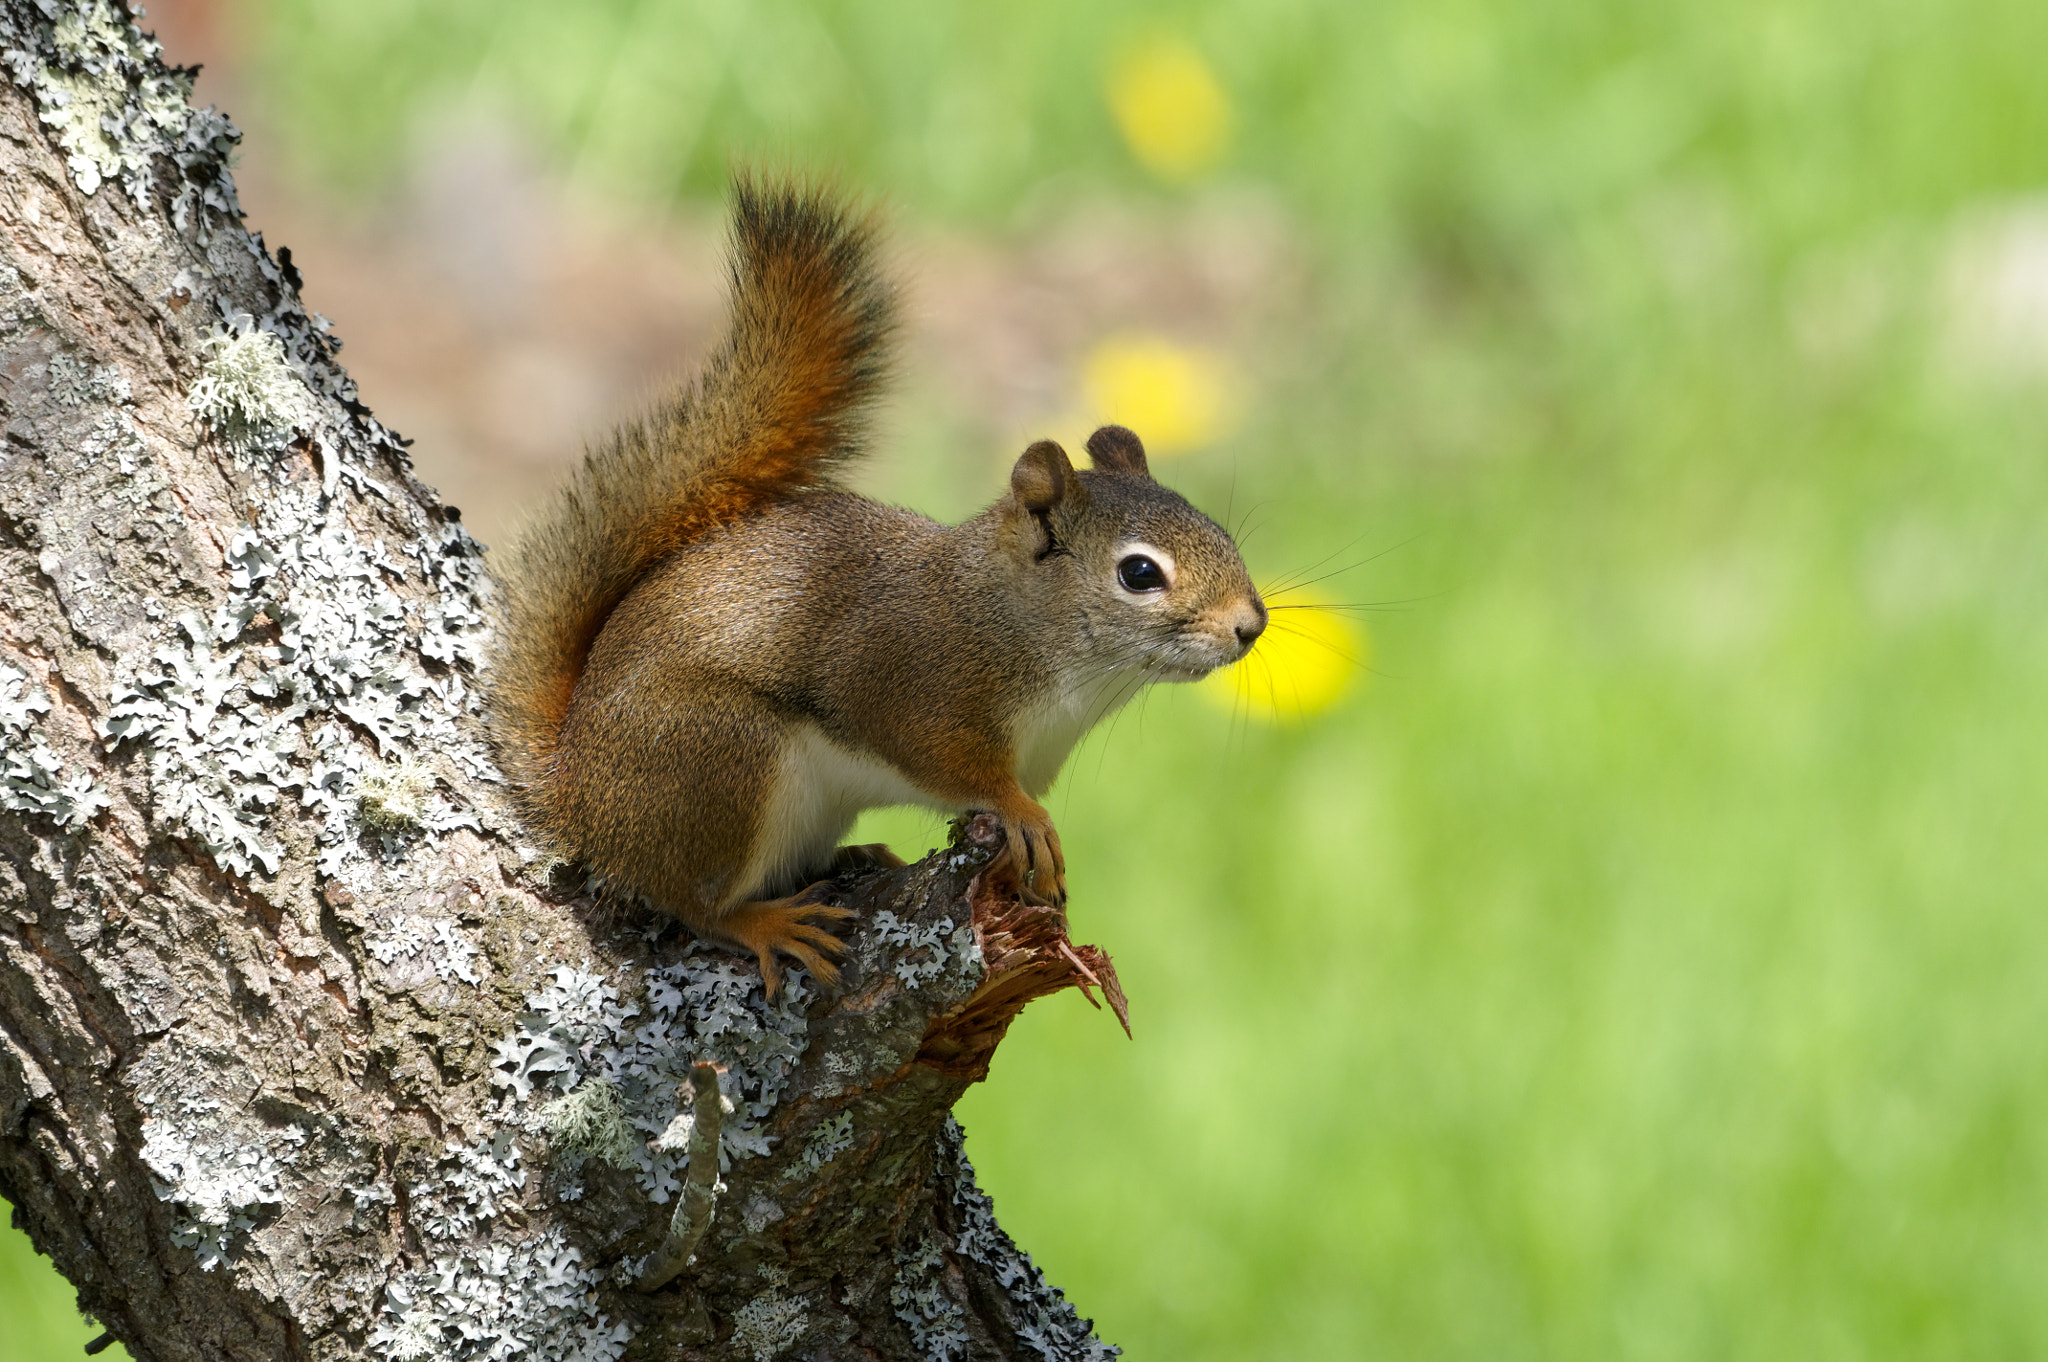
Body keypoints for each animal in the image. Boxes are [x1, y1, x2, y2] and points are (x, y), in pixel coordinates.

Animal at [491, 175, 1261, 995]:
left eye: (1215, 526)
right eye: (1139, 573)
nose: (1251, 625)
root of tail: (576, 794)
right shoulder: (914, 684)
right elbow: (955, 766)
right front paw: (1022, 816)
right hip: (720, 763)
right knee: (691, 900)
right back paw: (766, 923)